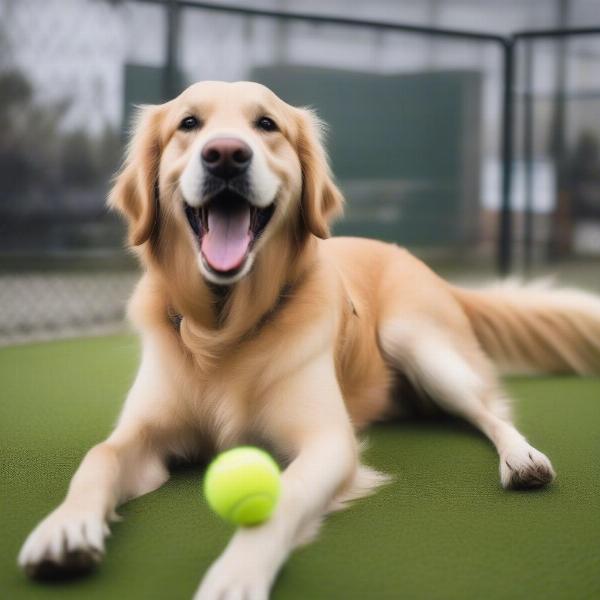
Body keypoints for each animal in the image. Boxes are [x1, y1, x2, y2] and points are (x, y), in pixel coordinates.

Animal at [17, 81, 600, 600]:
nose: (225, 155)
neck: (223, 331)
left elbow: (282, 497)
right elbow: (99, 458)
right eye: (188, 123)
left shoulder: (326, 443)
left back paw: (521, 459)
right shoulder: (143, 433)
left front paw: (236, 574)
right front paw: (64, 527)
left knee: (490, 412)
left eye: (266, 124)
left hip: (419, 344)